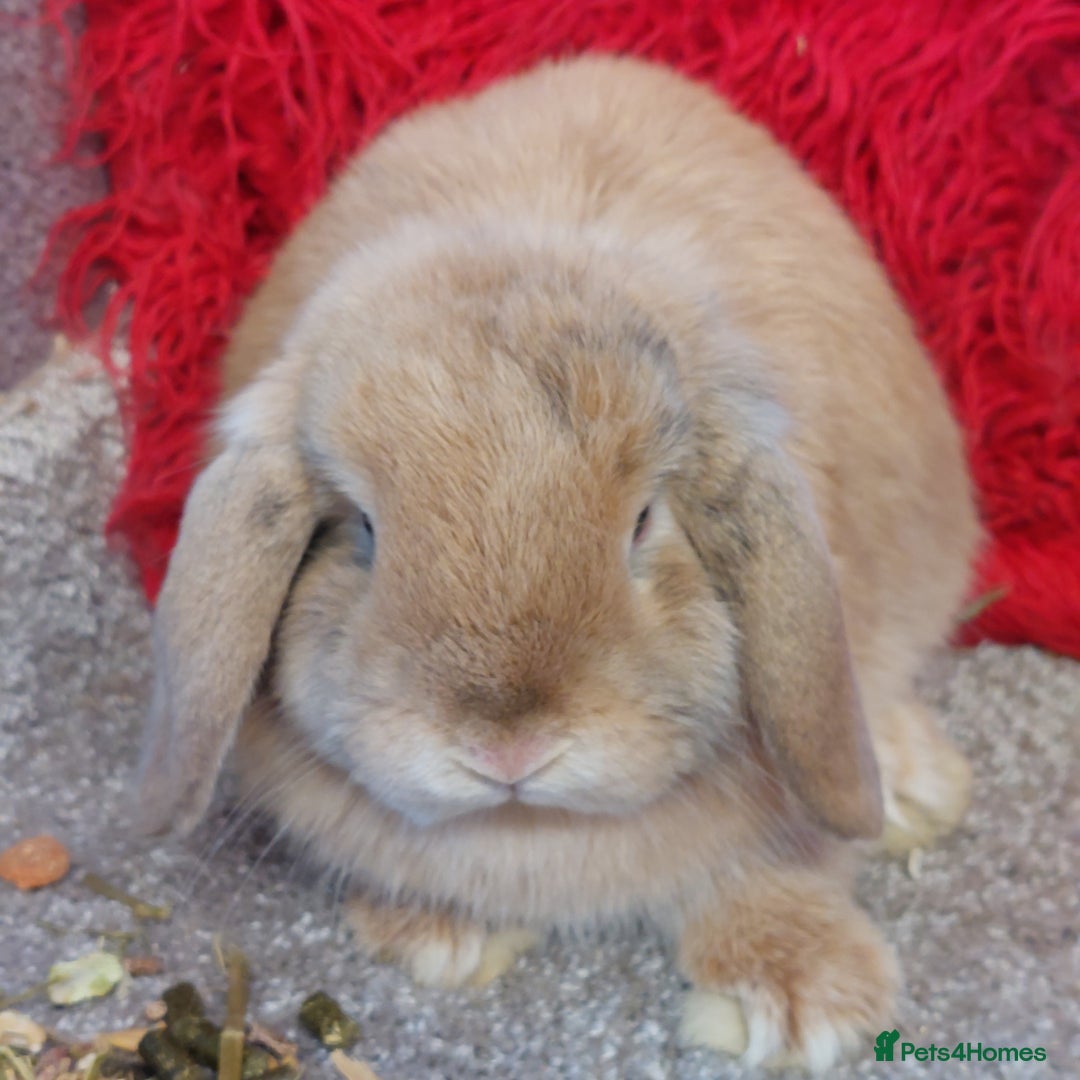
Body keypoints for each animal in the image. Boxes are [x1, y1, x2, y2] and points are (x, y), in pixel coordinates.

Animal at [139, 54, 979, 1070]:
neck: (529, 826)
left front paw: (805, 1001)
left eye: (643, 522)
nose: (508, 748)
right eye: (362, 530)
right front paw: (436, 937)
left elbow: (772, 867)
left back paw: (915, 788)